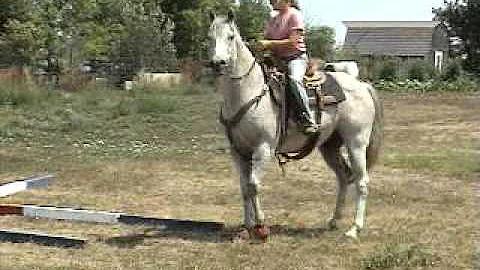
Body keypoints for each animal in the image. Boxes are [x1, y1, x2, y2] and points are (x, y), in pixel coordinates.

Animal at [208, 11, 384, 240]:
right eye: (210, 37)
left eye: (230, 37)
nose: (217, 63)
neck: (248, 91)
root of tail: (361, 85)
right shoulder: (238, 151)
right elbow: (244, 188)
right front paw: (246, 228)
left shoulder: (263, 148)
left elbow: (254, 185)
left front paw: (261, 227)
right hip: (329, 146)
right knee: (344, 177)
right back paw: (334, 221)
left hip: (356, 143)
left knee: (362, 182)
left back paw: (354, 229)